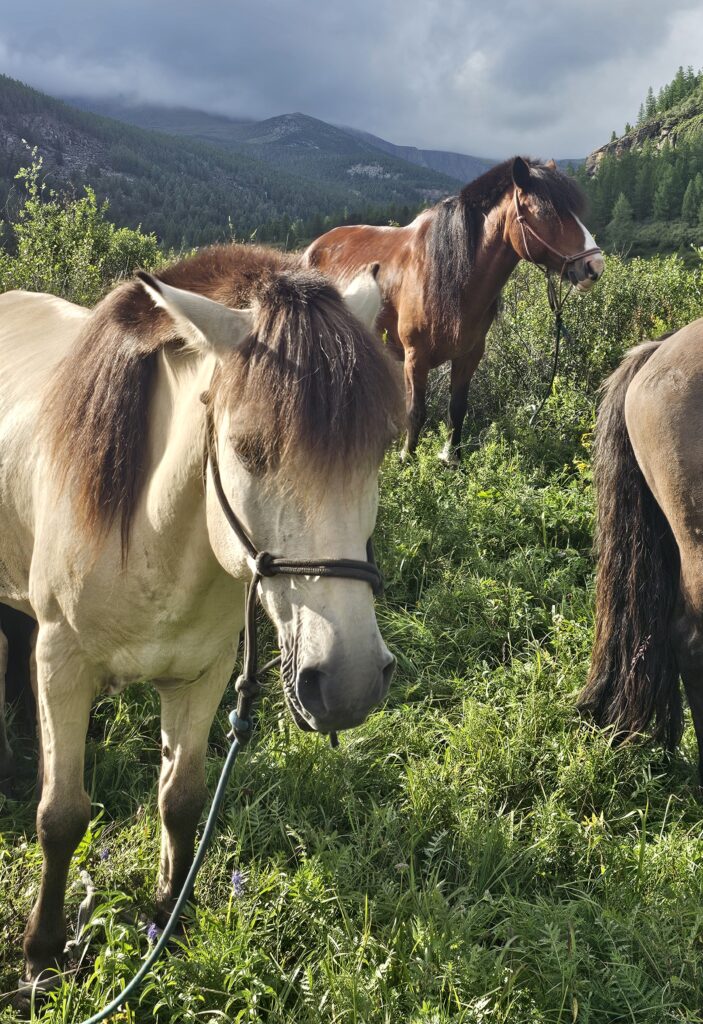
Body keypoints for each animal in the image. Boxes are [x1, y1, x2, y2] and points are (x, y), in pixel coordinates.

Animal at [0, 244, 404, 986]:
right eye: (248, 449)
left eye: (379, 448)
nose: (351, 681)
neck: (151, 544)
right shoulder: (63, 666)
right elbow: (61, 817)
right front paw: (41, 956)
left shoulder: (203, 676)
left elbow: (181, 799)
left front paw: (168, 918)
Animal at [305, 156, 604, 461]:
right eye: (547, 212)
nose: (594, 266)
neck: (447, 275)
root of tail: (313, 247)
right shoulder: (415, 357)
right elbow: (416, 412)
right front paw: (407, 457)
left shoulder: (469, 355)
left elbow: (457, 408)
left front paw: (451, 458)